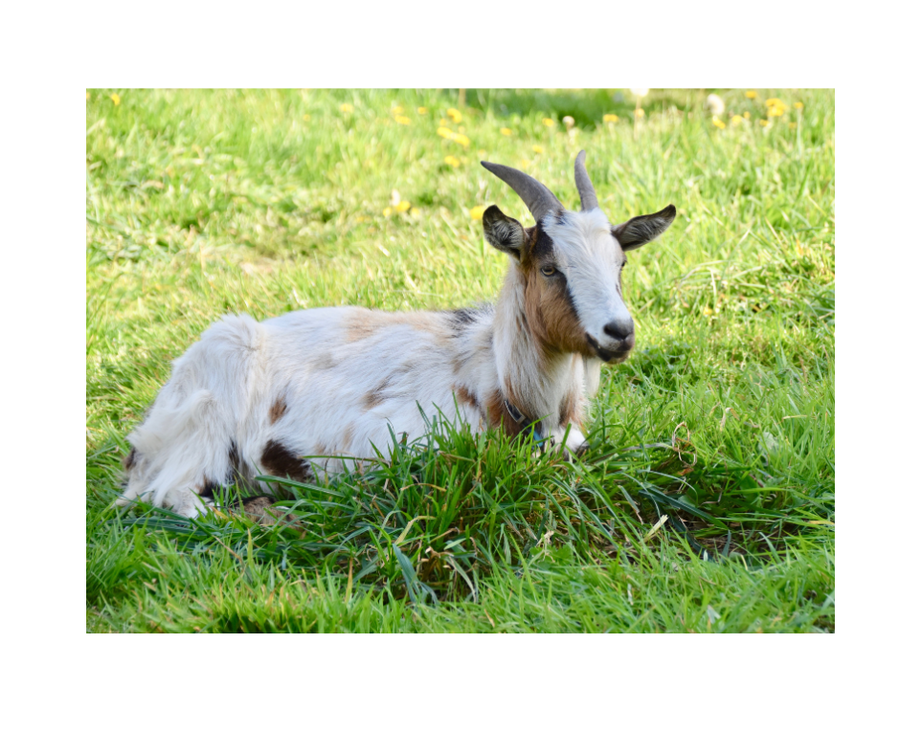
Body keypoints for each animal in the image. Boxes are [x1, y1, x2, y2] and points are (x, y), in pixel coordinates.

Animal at [119, 151, 675, 518]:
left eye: (620, 263)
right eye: (550, 268)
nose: (619, 332)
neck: (505, 387)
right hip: (207, 419)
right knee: (173, 495)